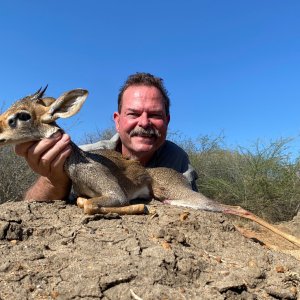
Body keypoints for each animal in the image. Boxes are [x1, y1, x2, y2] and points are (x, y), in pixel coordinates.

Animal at [0, 87, 300, 248]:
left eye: (21, 116)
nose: (0, 133)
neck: (78, 163)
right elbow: (84, 202)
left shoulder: (114, 193)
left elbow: (90, 205)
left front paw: (137, 208)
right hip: (175, 201)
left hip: (185, 196)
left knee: (239, 208)